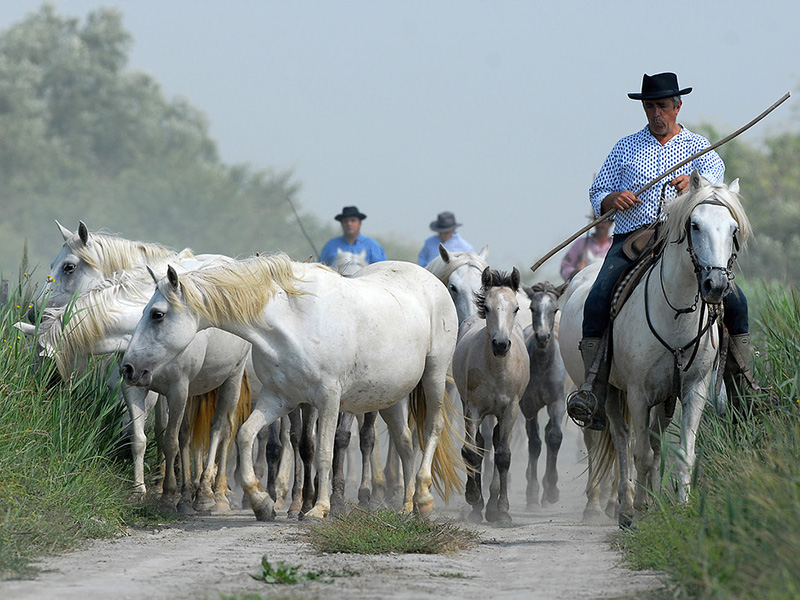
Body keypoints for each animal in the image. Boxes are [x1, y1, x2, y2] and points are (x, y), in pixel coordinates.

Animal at [21, 264, 252, 512]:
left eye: (45, 363)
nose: (40, 394)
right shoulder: (135, 387)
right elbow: (142, 438)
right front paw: (140, 491)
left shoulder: (177, 390)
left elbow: (171, 441)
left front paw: (169, 495)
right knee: (188, 435)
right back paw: (190, 492)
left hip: (232, 379)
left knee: (220, 430)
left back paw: (213, 494)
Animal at [122, 254, 466, 520]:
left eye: (157, 314)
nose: (128, 368)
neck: (294, 321)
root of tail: (432, 279)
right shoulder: (278, 399)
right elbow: (247, 436)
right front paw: (262, 503)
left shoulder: (328, 399)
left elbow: (324, 452)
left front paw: (319, 509)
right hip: (390, 397)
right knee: (405, 443)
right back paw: (407, 506)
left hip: (433, 377)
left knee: (432, 429)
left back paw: (424, 500)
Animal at [454, 268, 528, 524]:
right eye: (486, 307)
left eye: (515, 308)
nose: (501, 344)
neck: (497, 369)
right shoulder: (473, 408)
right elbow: (471, 451)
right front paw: (473, 498)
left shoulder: (510, 410)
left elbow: (503, 455)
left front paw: (502, 511)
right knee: (480, 443)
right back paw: (480, 506)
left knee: (496, 441)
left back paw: (493, 506)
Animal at [560, 171, 752, 528]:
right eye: (695, 225)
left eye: (733, 229)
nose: (716, 286)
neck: (675, 313)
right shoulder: (638, 393)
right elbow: (641, 454)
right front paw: (636, 510)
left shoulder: (693, 389)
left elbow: (681, 452)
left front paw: (679, 507)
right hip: (609, 390)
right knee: (622, 440)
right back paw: (623, 506)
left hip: (664, 397)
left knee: (652, 438)